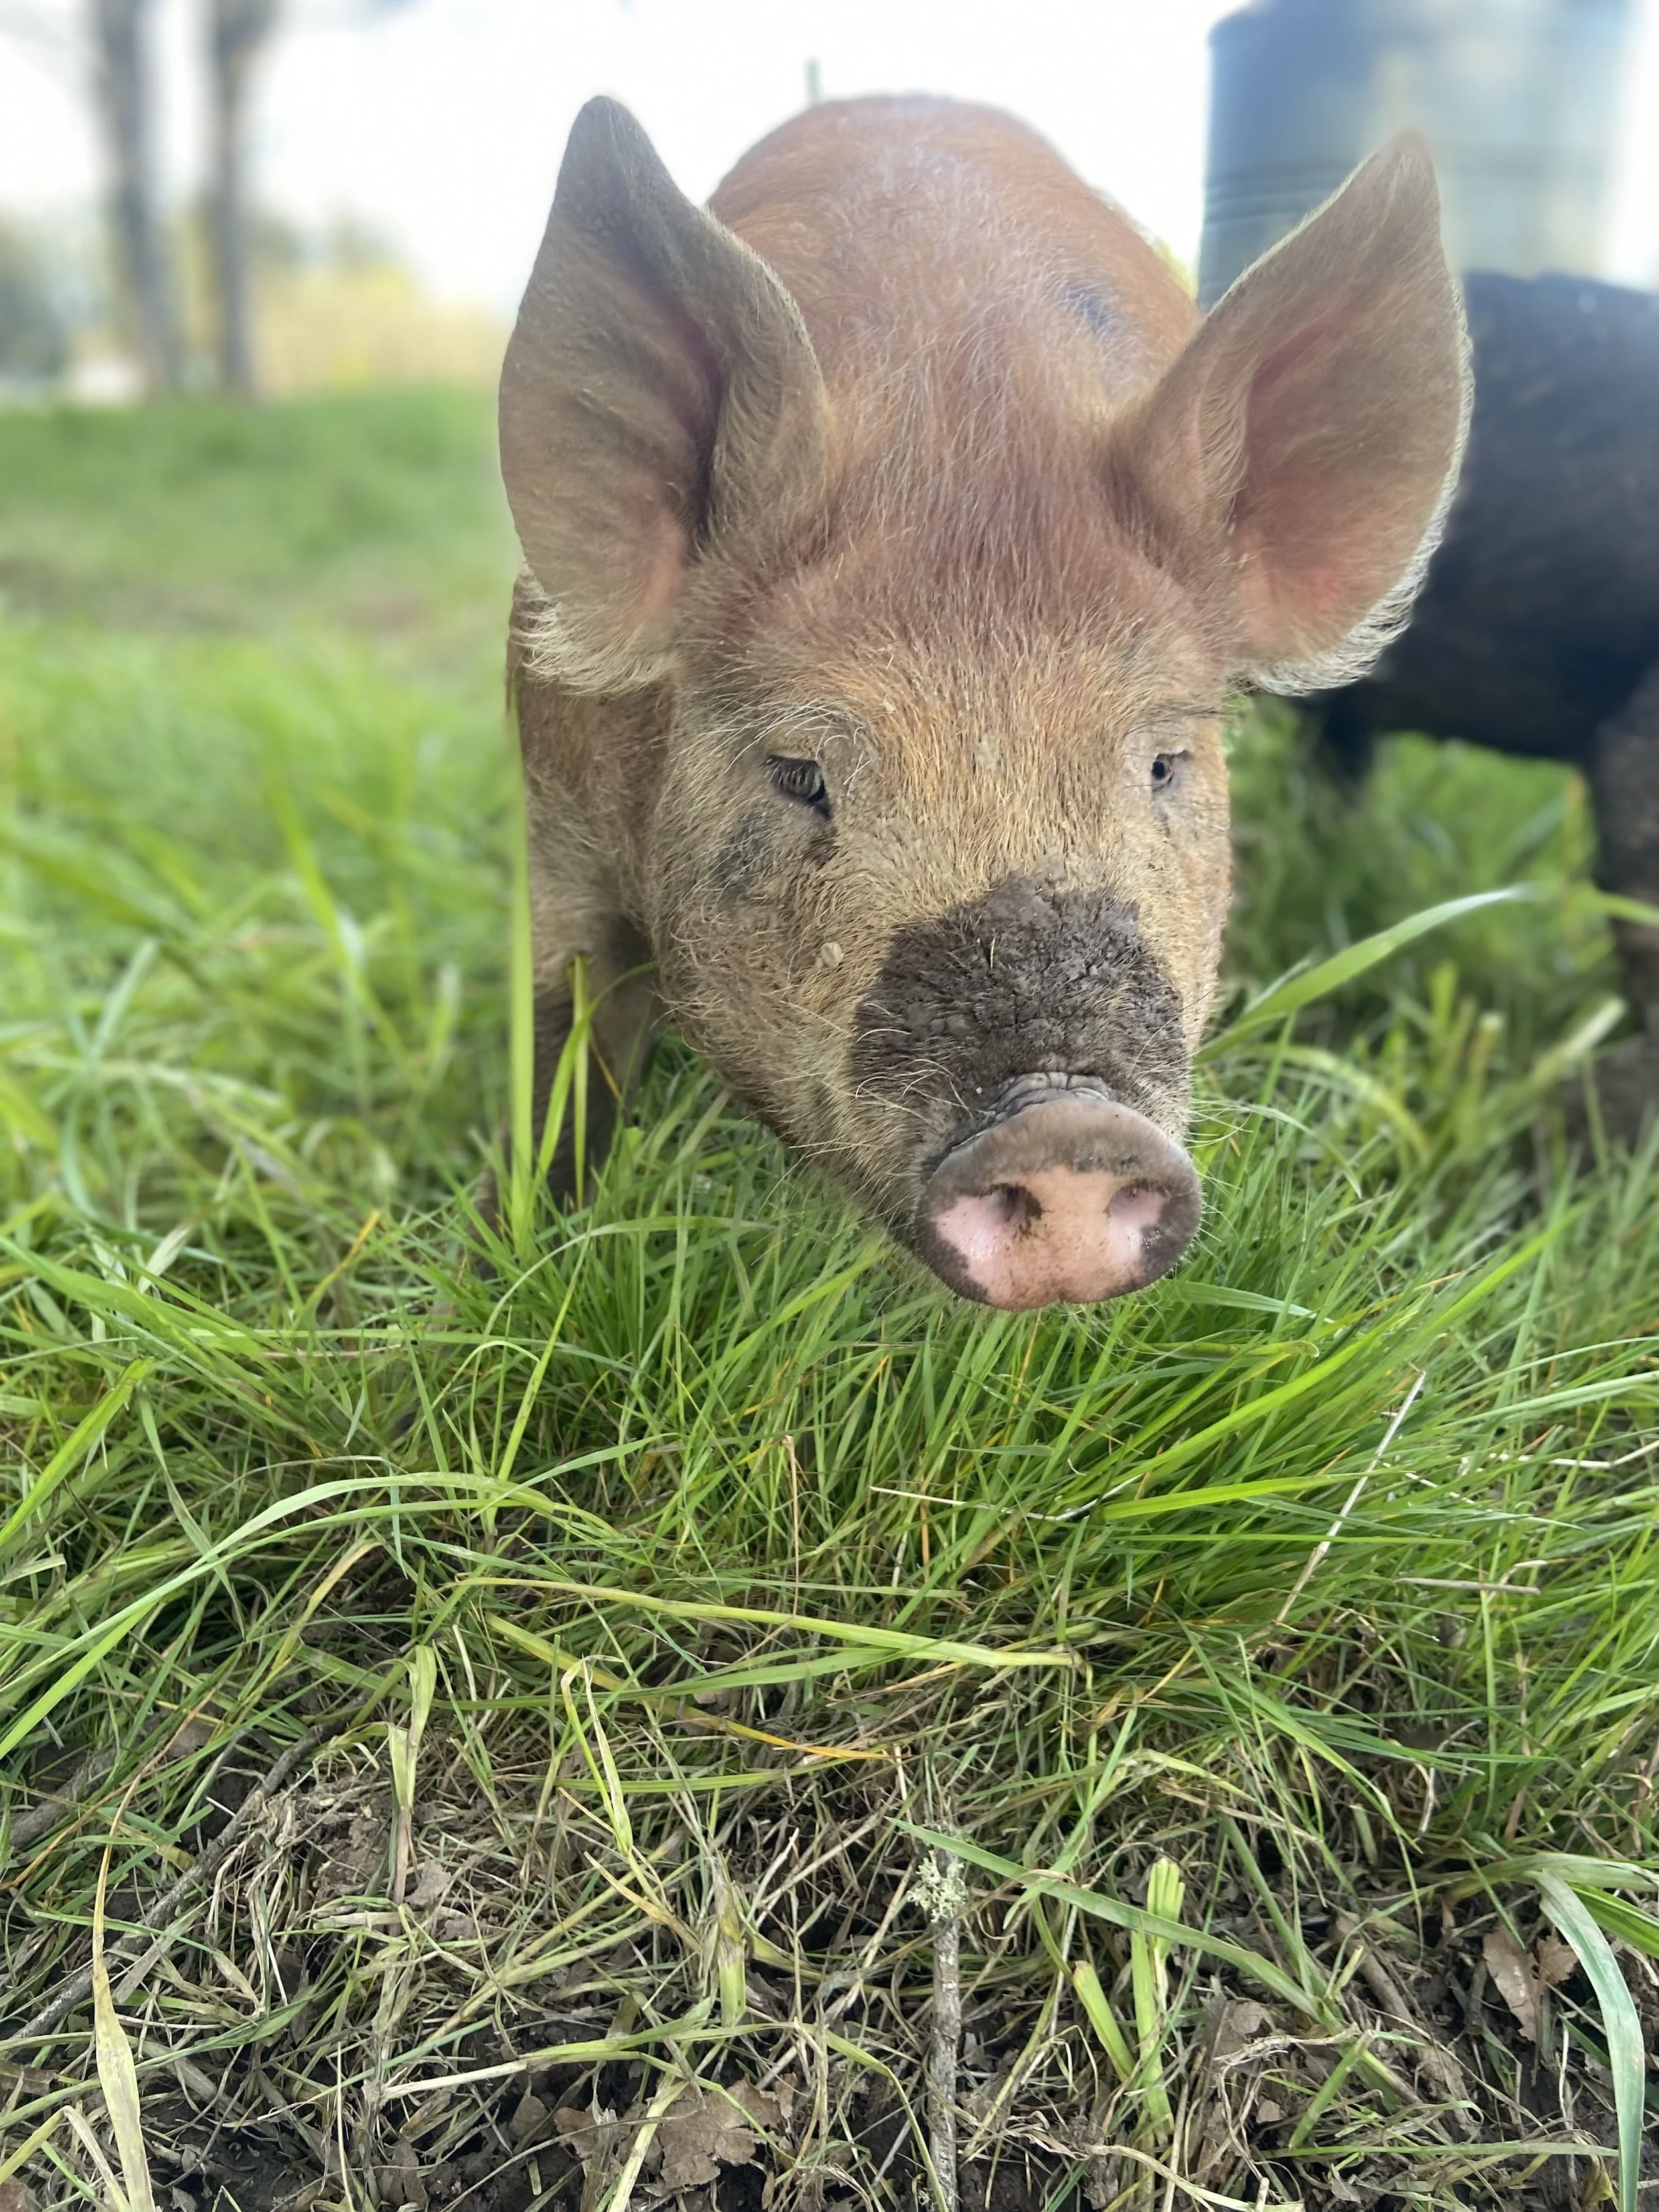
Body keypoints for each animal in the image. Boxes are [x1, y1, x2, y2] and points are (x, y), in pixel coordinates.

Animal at [494, 96, 1468, 1310]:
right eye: (801, 774)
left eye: (1164, 764)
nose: (1064, 1126)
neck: (965, 418)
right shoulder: (553, 816)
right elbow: (560, 1047)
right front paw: (524, 1243)